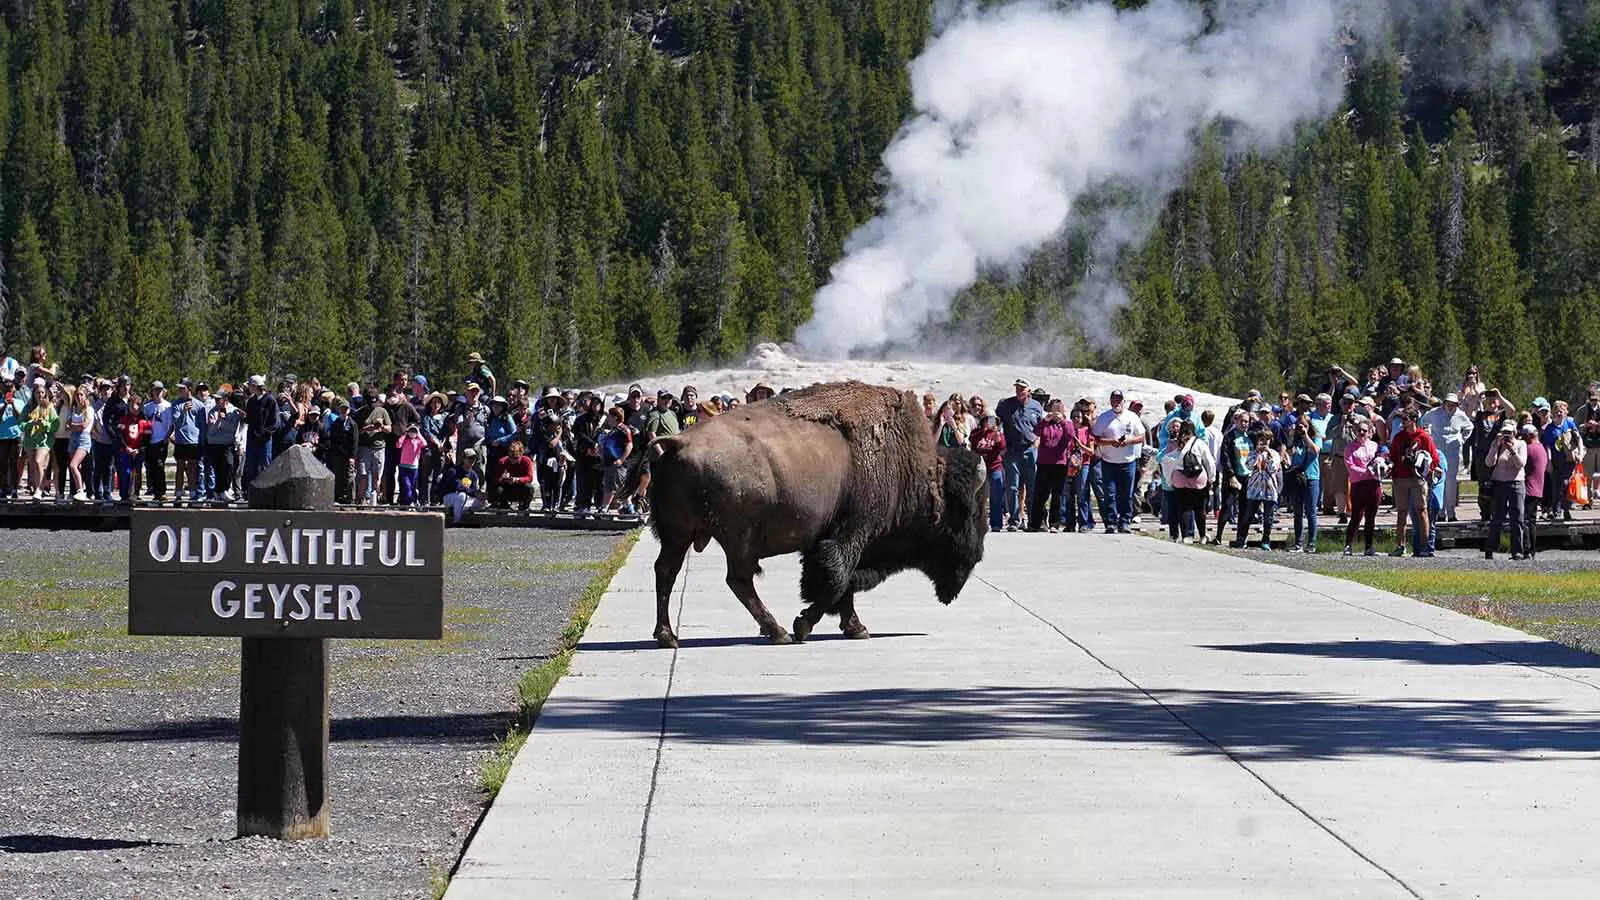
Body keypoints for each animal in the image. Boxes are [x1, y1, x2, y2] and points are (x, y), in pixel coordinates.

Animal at [645, 381, 989, 647]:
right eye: (971, 513)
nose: (977, 556)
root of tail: (678, 441)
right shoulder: (851, 535)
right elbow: (836, 581)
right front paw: (804, 625)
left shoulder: (829, 541)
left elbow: (842, 585)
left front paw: (856, 628)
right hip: (736, 539)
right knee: (737, 579)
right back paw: (778, 632)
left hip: (679, 534)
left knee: (667, 572)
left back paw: (667, 636)